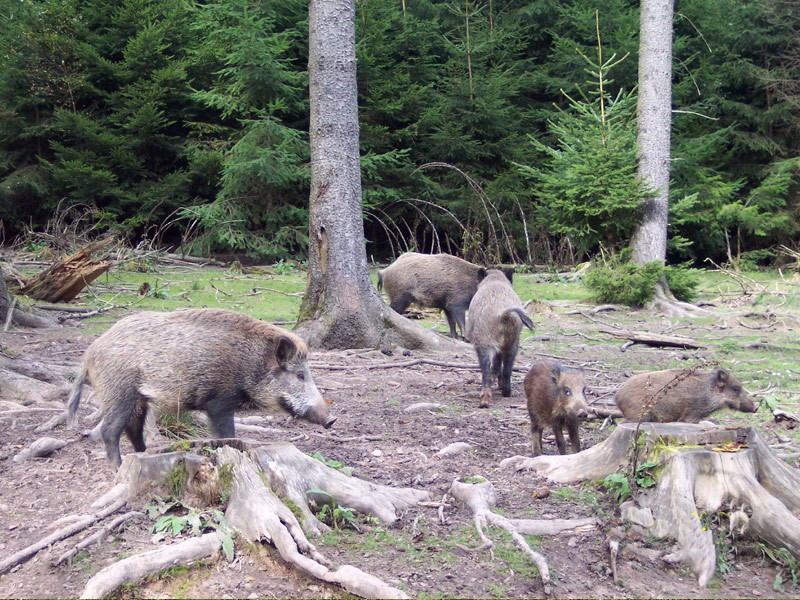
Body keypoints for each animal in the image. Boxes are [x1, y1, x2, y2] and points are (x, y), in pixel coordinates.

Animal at [67, 308, 336, 467]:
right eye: (300, 375)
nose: (331, 419)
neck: (251, 362)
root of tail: (89, 354)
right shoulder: (219, 401)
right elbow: (225, 433)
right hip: (119, 393)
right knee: (110, 431)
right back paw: (119, 467)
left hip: (138, 399)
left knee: (133, 430)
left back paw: (145, 454)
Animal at [377, 252, 512, 340]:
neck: (472, 284)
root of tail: (385, 271)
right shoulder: (456, 303)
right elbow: (460, 321)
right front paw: (466, 338)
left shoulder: (447, 306)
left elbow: (451, 322)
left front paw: (454, 337)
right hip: (400, 298)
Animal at [467, 269, 534, 407]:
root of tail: (502, 313)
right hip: (513, 341)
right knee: (508, 366)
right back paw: (506, 393)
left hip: (484, 340)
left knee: (486, 366)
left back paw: (485, 401)